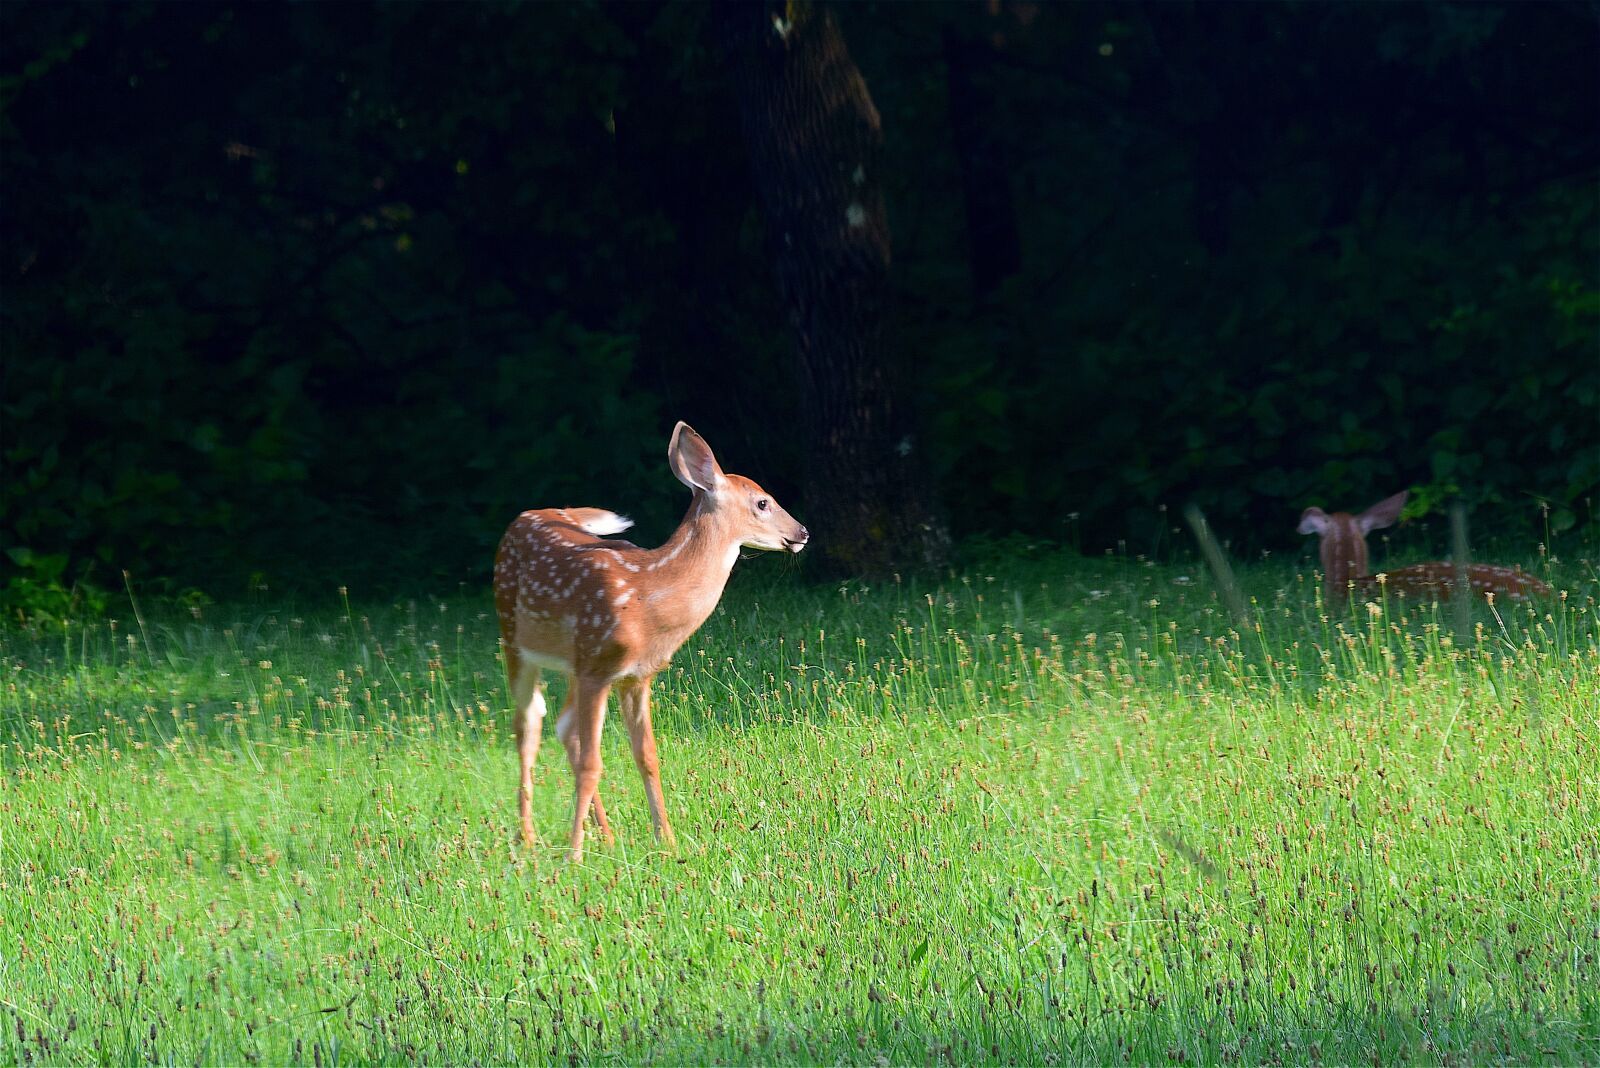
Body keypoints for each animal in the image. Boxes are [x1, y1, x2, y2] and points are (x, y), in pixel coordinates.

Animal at [493, 422, 808, 861]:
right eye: (763, 502)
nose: (802, 532)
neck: (647, 596)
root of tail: (524, 516)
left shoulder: (636, 675)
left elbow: (647, 756)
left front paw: (668, 840)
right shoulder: (598, 668)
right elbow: (593, 763)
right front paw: (574, 856)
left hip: (574, 660)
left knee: (563, 725)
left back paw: (606, 836)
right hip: (514, 637)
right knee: (528, 726)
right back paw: (528, 837)